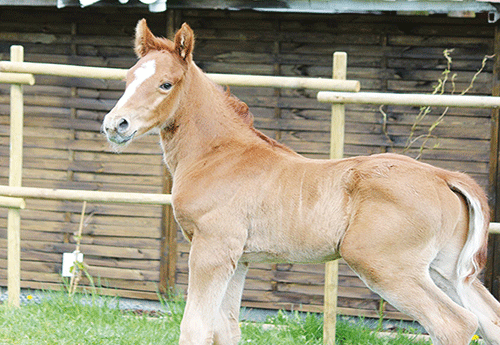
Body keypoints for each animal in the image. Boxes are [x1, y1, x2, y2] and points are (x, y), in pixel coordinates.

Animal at [102, 19, 500, 344]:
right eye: (128, 79)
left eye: (165, 84)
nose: (115, 125)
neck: (218, 156)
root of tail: (444, 176)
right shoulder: (239, 259)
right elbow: (227, 329)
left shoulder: (211, 249)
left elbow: (196, 328)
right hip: (448, 270)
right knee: (488, 320)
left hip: (386, 266)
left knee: (454, 324)